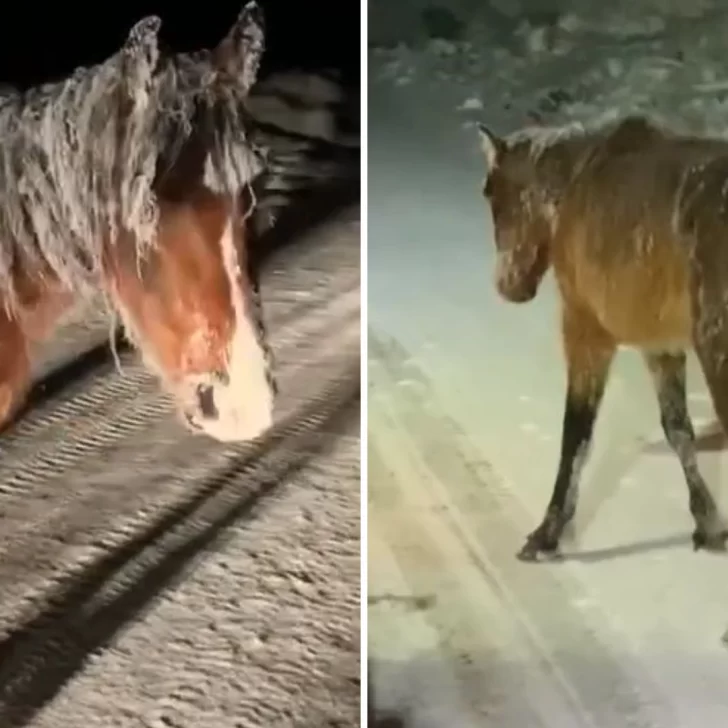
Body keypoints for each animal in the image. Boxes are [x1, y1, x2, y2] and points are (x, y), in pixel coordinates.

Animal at [478, 112, 728, 564]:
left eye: (490, 192)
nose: (508, 286)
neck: (570, 188)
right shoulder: (660, 345)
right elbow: (678, 430)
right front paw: (707, 524)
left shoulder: (586, 330)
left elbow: (576, 432)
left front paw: (547, 533)